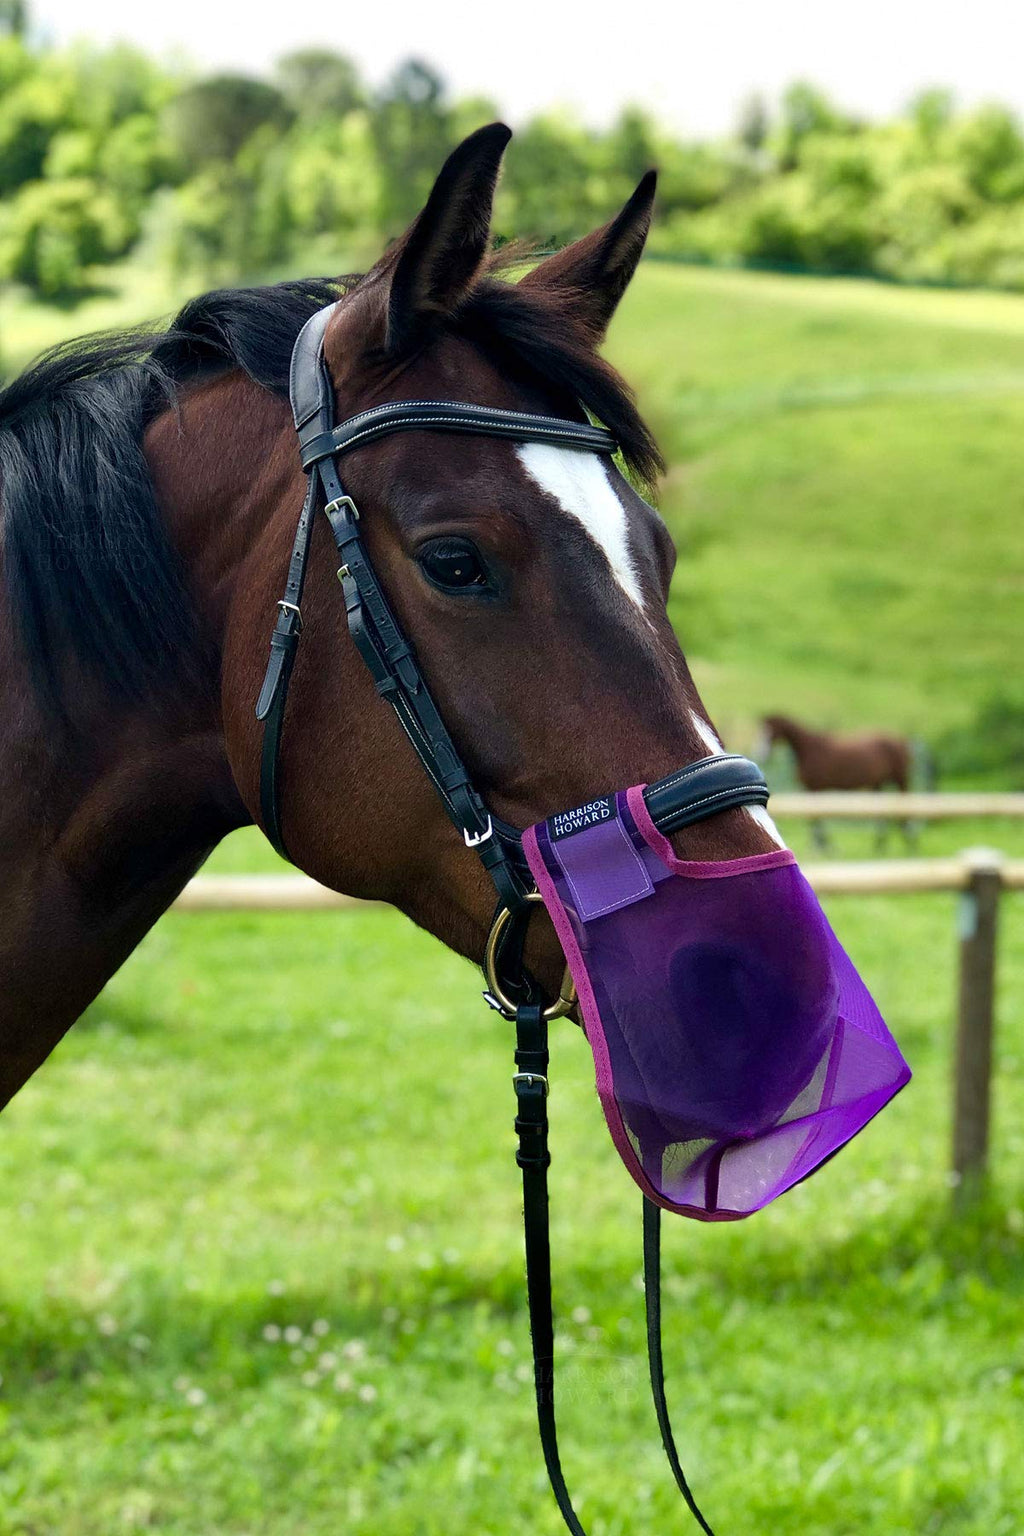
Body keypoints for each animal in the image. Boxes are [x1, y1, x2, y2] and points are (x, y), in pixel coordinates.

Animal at [761, 709, 921, 854]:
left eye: (770, 732)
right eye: (762, 731)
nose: (763, 754)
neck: (809, 749)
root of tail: (902, 740)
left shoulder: (815, 787)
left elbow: (816, 817)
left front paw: (822, 845)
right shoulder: (811, 789)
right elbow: (815, 817)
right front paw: (822, 844)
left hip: (901, 778)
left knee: (905, 805)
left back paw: (909, 840)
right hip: (878, 783)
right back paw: (881, 844)